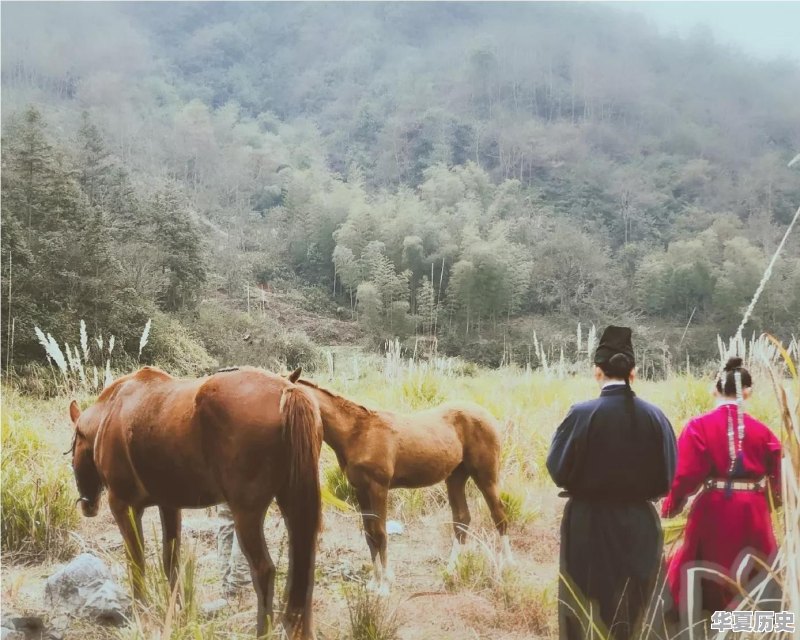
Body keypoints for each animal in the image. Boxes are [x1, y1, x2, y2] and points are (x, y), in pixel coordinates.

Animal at [66, 368, 322, 636]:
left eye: (73, 447)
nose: (88, 505)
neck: (110, 412)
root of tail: (287, 390)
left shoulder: (123, 506)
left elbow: (136, 562)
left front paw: (140, 614)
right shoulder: (168, 506)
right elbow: (171, 562)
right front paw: (176, 611)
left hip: (247, 515)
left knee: (264, 570)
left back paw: (262, 631)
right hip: (292, 505)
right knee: (301, 568)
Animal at [290, 370, 512, 596]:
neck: (358, 433)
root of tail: (488, 416)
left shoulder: (378, 488)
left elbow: (380, 533)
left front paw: (385, 585)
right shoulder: (360, 490)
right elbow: (369, 533)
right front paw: (374, 582)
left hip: (486, 475)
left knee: (499, 516)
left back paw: (506, 566)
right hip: (456, 477)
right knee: (462, 519)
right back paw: (451, 570)